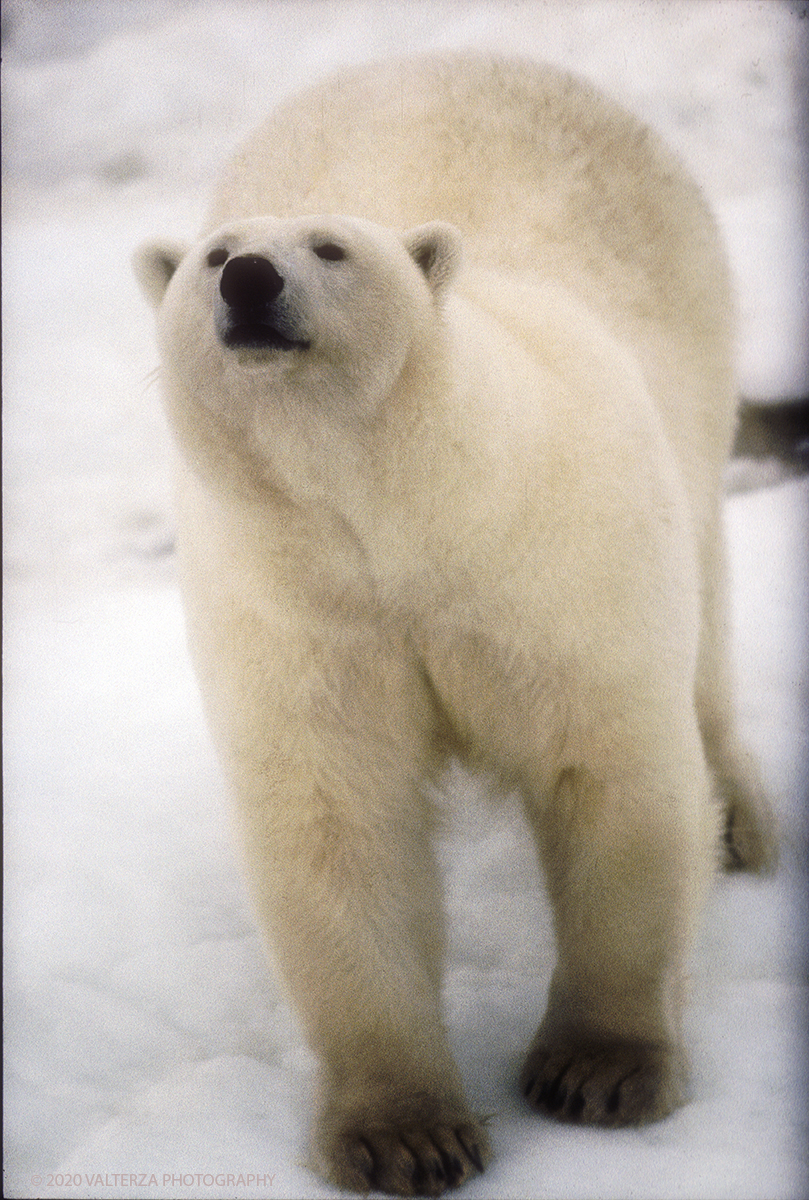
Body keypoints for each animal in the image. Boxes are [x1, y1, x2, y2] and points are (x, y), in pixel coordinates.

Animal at [136, 54, 772, 1190]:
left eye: (331, 247)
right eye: (210, 256)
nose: (248, 280)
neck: (402, 519)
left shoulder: (550, 569)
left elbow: (611, 776)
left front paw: (599, 1074)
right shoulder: (303, 613)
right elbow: (340, 828)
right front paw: (403, 1136)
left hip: (695, 357)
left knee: (703, 617)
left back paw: (739, 816)